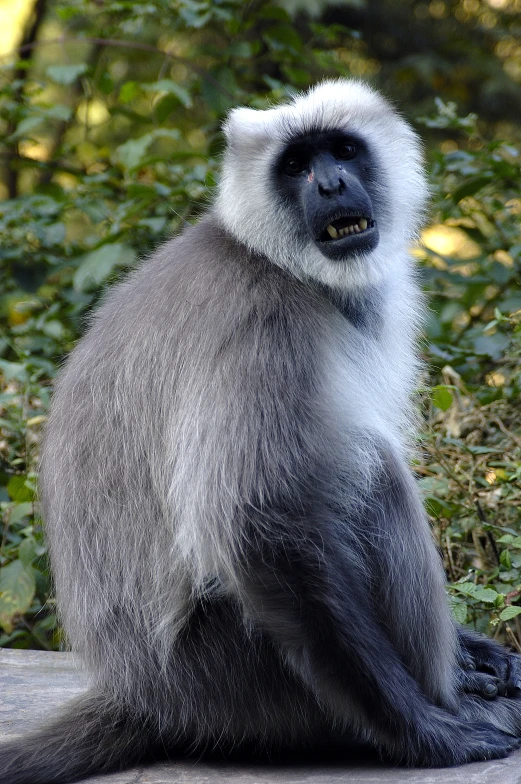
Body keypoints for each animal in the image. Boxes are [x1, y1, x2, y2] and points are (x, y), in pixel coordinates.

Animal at [1, 81, 520, 784]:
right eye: (297, 166)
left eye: (342, 152)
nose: (330, 184)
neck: (278, 263)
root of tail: (142, 694)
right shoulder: (260, 323)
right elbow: (260, 523)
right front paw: (425, 731)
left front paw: (478, 657)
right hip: (246, 683)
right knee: (372, 477)